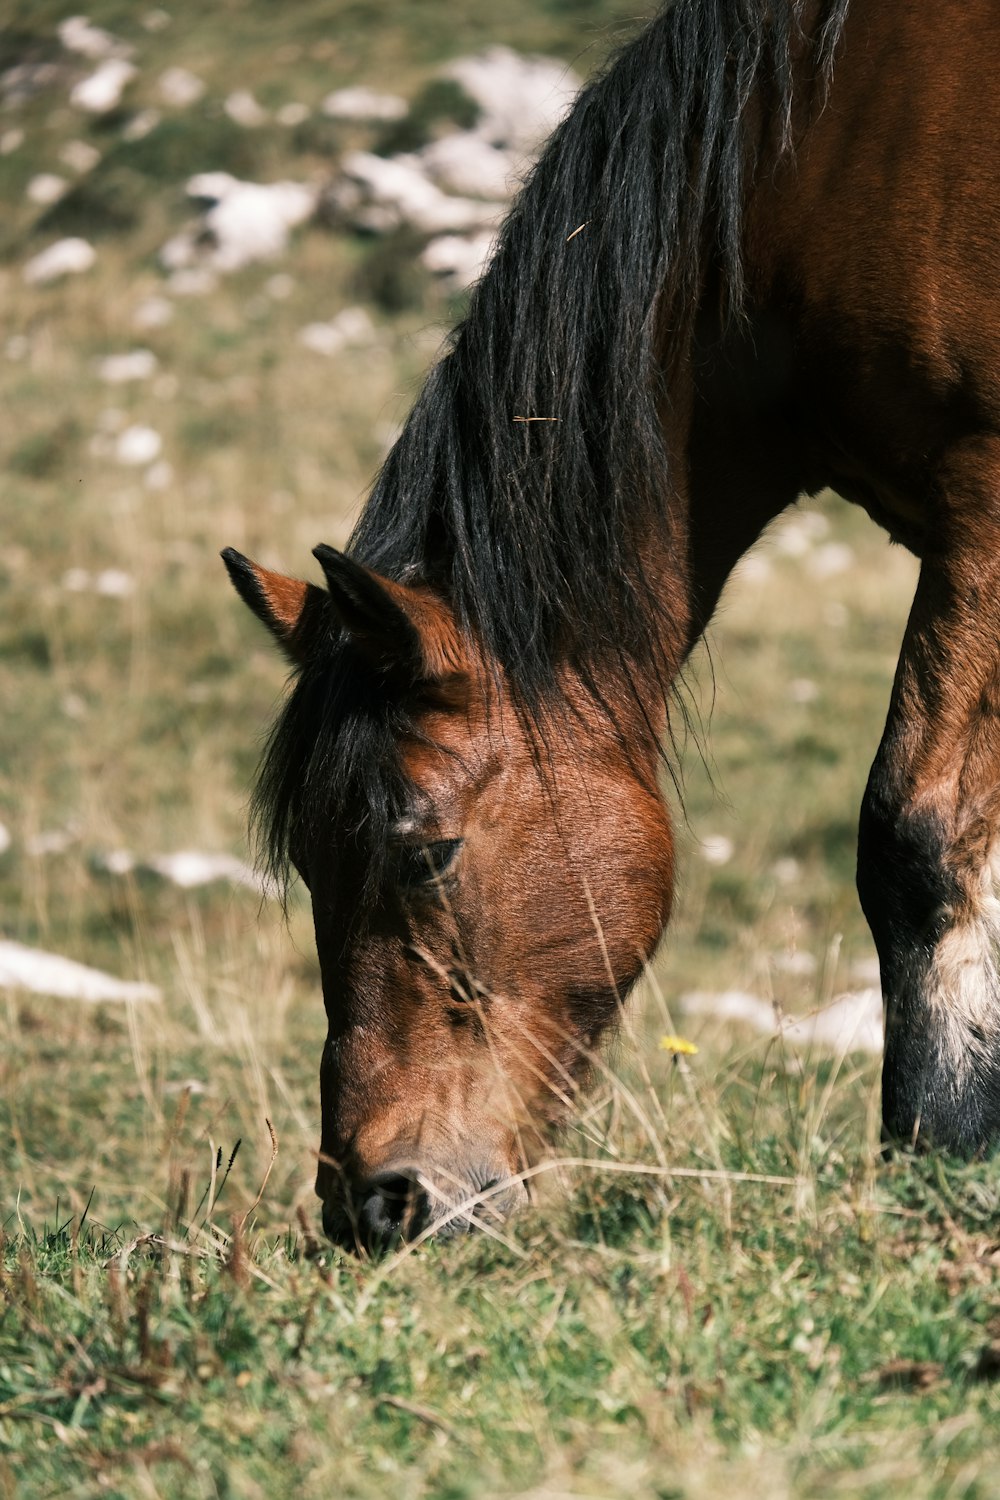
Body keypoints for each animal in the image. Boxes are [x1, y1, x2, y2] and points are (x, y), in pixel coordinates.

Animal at [223, 0, 1000, 1248]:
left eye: (425, 852)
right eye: (305, 857)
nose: (371, 1202)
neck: (829, 145)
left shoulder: (985, 500)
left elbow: (915, 833)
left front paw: (941, 1142)